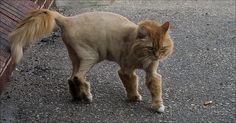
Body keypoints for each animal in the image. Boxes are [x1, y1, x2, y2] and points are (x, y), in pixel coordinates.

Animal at [9, 8, 173, 112]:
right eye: (150, 48)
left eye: (162, 48)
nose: (157, 56)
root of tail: (67, 19)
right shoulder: (125, 70)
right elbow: (131, 84)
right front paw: (134, 97)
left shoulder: (152, 72)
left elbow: (155, 88)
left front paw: (158, 105)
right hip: (90, 56)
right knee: (77, 76)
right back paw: (87, 95)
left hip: (76, 57)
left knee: (71, 78)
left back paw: (78, 96)